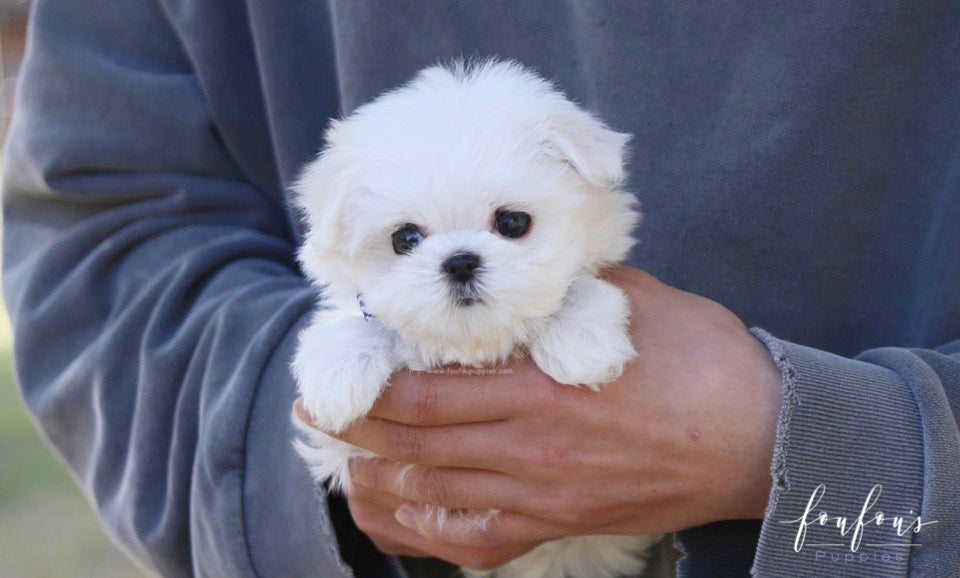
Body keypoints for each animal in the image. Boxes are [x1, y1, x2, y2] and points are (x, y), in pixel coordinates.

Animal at [290, 60, 660, 572]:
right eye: (405, 238)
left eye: (512, 223)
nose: (460, 261)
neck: (473, 345)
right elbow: (355, 321)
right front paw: (337, 374)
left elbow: (580, 287)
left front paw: (582, 343)